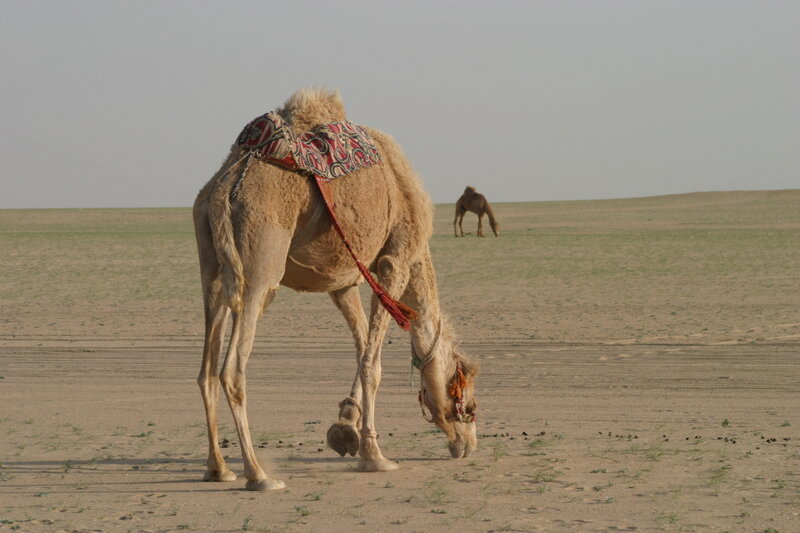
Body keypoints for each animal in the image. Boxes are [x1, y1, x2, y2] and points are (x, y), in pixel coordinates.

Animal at [193, 88, 479, 491]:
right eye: (466, 402)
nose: (467, 445)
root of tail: (224, 188)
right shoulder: (394, 263)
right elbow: (374, 364)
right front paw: (374, 456)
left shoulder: (342, 281)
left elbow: (361, 347)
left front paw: (345, 429)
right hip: (260, 263)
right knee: (232, 368)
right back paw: (260, 475)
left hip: (211, 267)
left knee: (206, 369)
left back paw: (218, 468)